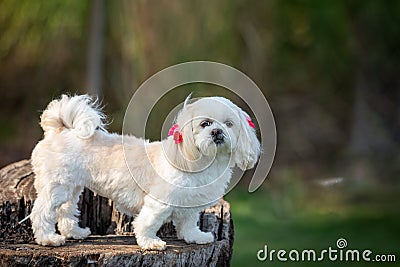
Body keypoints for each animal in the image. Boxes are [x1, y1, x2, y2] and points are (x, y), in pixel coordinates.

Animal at [29, 94, 260, 251]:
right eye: (205, 123)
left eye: (229, 124)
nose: (217, 132)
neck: (198, 162)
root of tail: (59, 129)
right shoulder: (159, 202)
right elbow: (148, 222)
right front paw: (150, 242)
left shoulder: (190, 204)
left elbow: (188, 223)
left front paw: (196, 237)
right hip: (57, 187)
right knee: (42, 211)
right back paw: (48, 238)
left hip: (71, 187)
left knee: (65, 211)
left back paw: (74, 232)